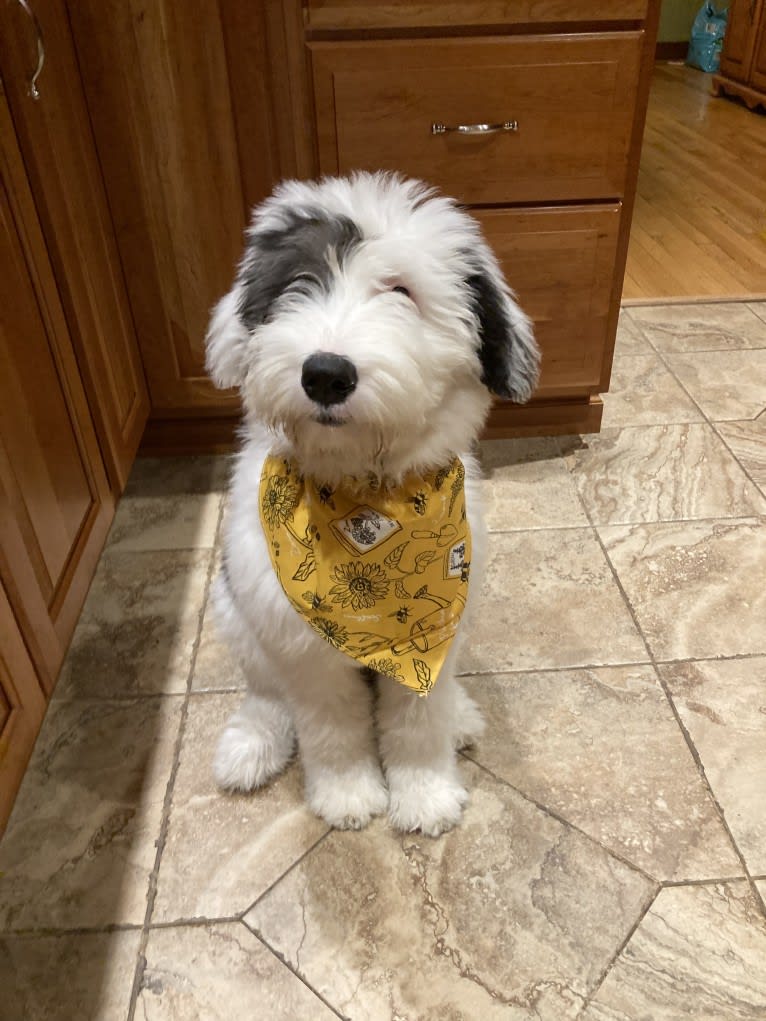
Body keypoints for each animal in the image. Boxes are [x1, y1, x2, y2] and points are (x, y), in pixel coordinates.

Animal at [204, 169, 539, 837]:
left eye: (402, 291)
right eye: (298, 282)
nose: (325, 373)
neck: (367, 504)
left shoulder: (431, 639)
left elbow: (418, 722)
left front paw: (426, 796)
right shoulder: (303, 646)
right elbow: (332, 727)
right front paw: (348, 795)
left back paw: (462, 717)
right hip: (238, 615)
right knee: (265, 694)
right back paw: (251, 745)